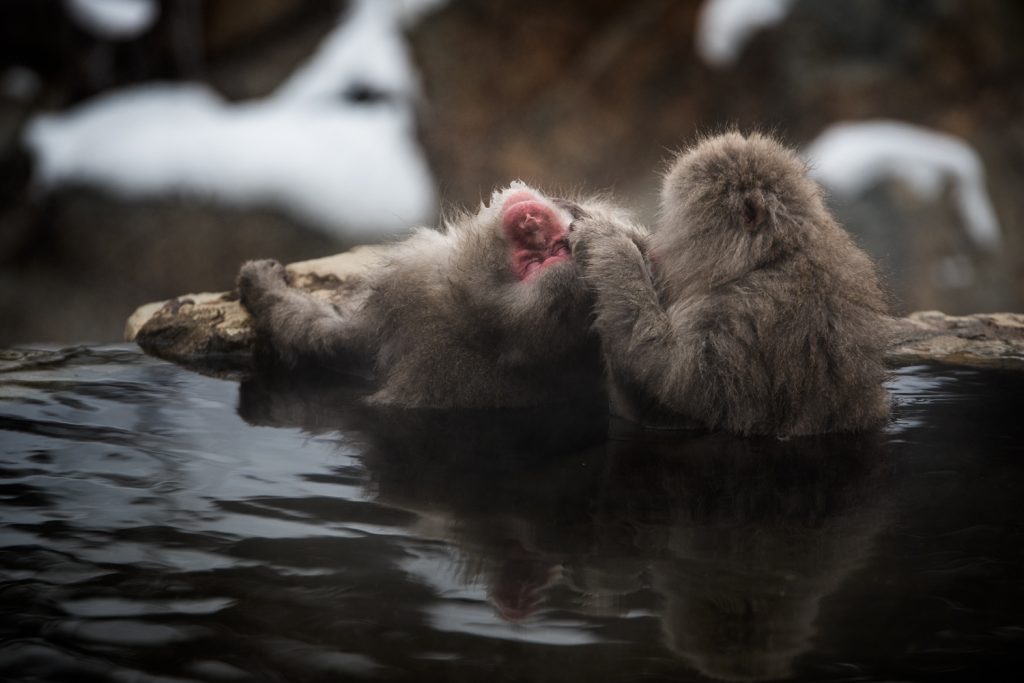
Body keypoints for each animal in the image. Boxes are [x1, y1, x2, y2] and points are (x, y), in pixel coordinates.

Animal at [238, 181, 626, 409]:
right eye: (555, 248)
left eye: (536, 262)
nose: (531, 223)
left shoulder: (405, 302)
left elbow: (334, 342)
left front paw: (261, 285)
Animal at [573, 131, 892, 436]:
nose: (658, 247)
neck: (770, 259)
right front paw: (627, 235)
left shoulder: (744, 314)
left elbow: (683, 392)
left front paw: (611, 244)